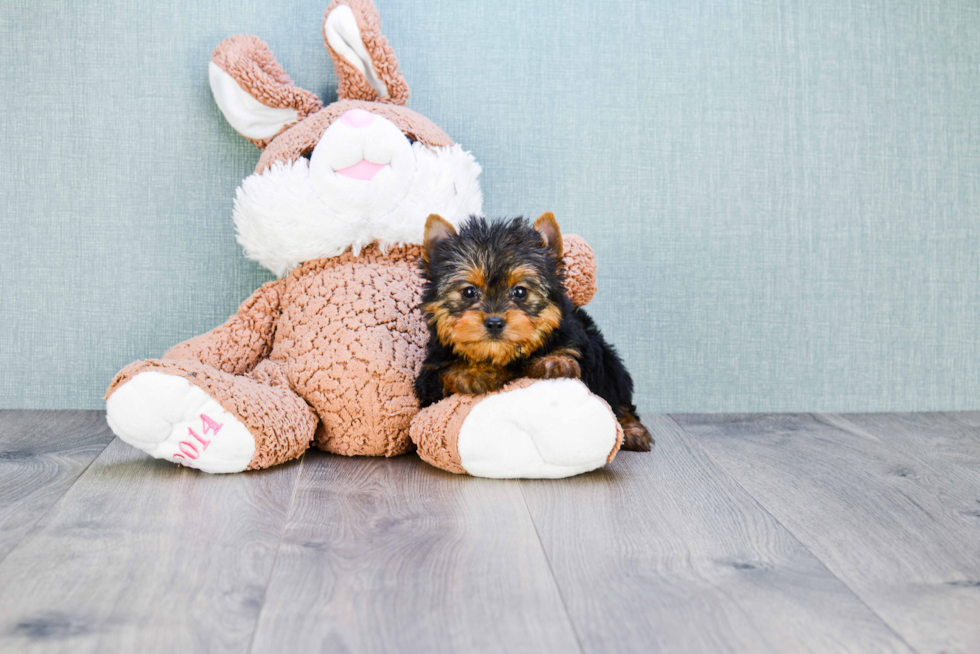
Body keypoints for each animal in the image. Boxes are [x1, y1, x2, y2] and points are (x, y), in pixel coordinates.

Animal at [410, 213, 656, 454]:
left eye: (520, 292)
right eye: (469, 292)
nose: (494, 322)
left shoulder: (576, 341)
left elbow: (567, 350)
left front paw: (554, 361)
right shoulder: (429, 376)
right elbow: (445, 373)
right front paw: (473, 372)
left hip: (610, 364)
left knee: (618, 397)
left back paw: (633, 431)